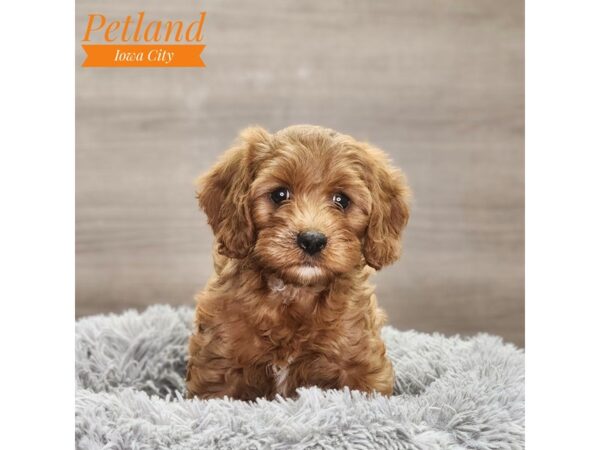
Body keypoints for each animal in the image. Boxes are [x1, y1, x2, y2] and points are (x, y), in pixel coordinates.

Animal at [188, 125, 410, 400]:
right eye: (279, 194)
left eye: (341, 200)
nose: (312, 240)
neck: (295, 291)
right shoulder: (219, 365)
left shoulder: (361, 365)